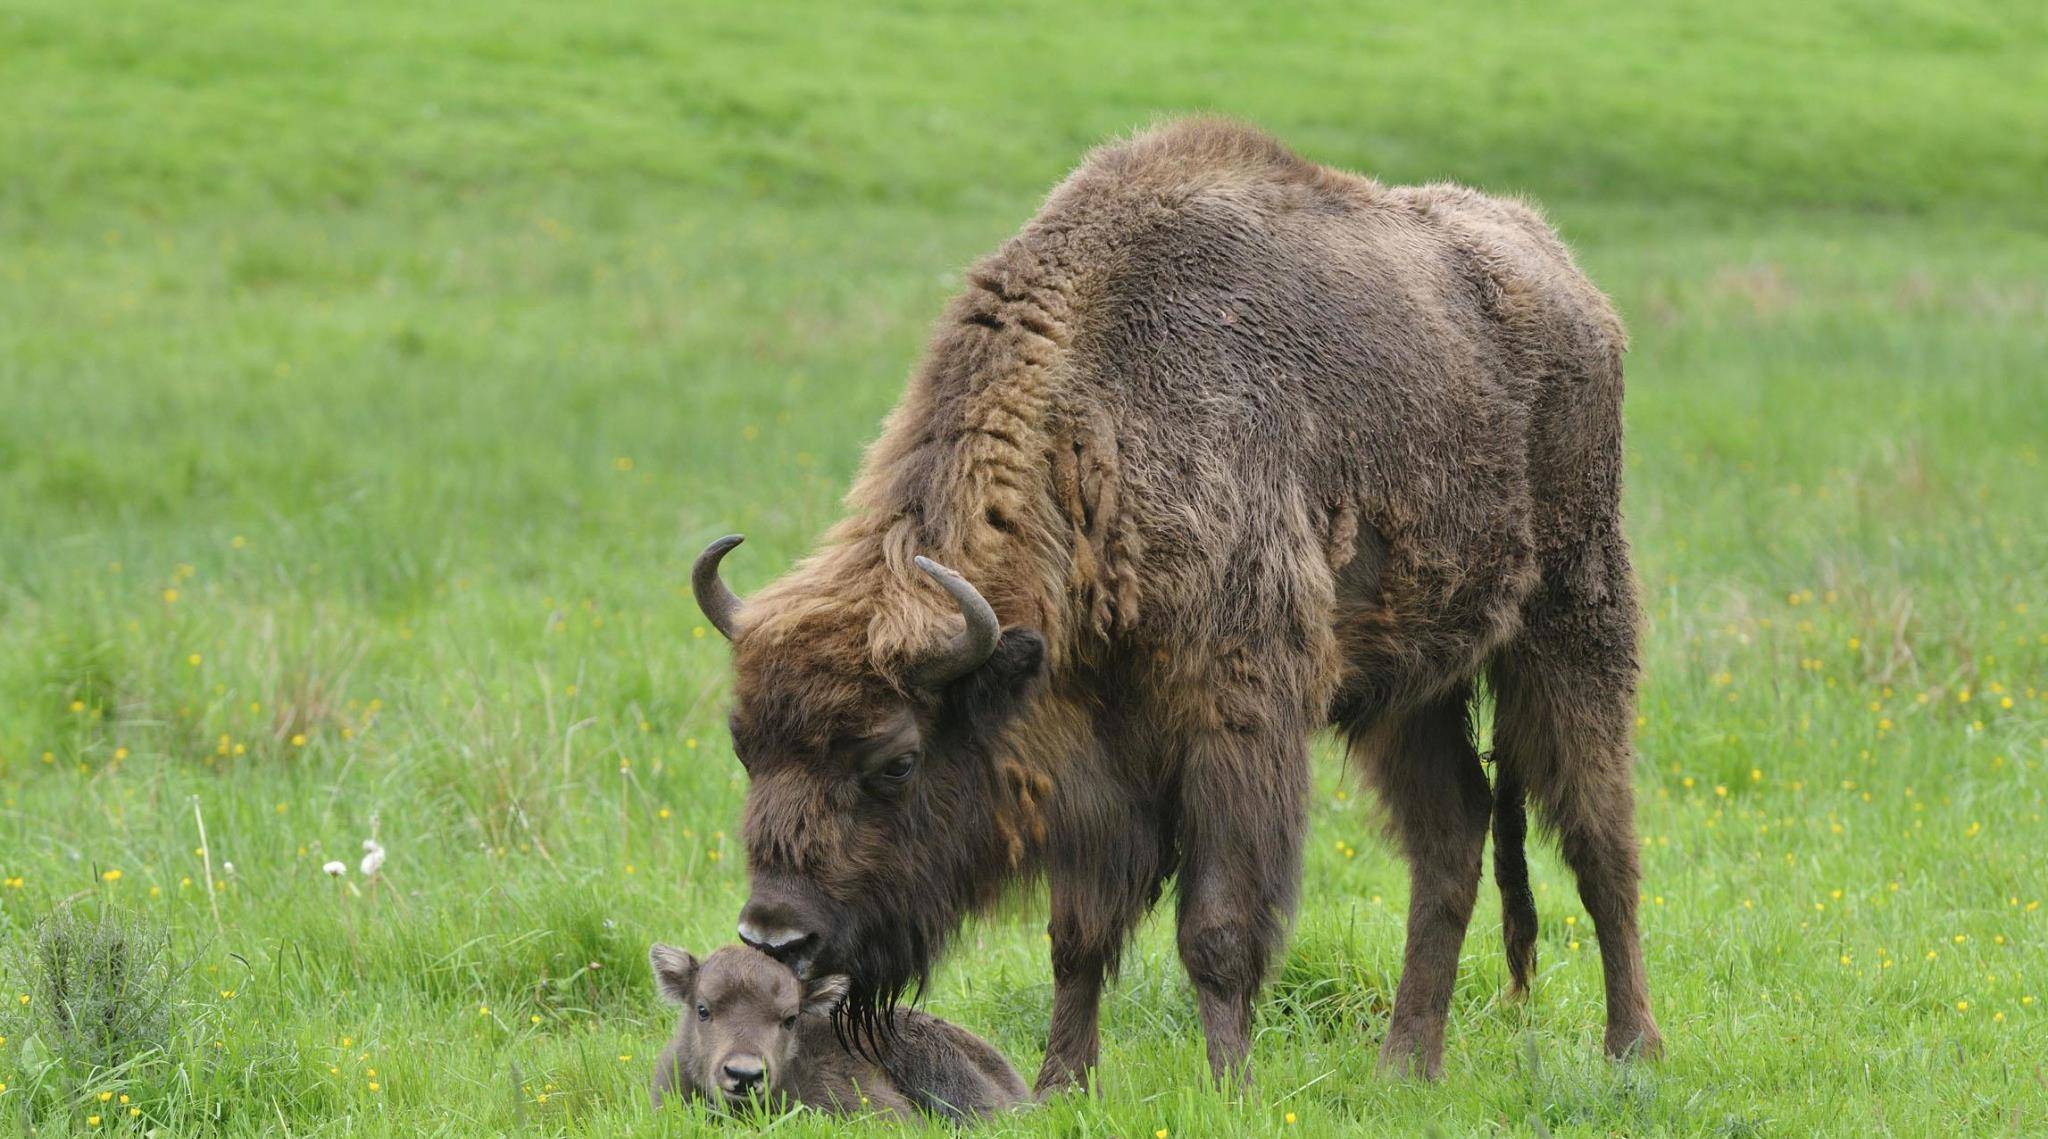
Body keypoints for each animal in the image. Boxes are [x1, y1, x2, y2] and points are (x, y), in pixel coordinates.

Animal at [696, 120, 1654, 1089]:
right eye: (744, 743)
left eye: (896, 760)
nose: (775, 934)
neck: (1100, 429)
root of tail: (1574, 287)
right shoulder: (1094, 760)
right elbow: (1078, 936)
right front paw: (1059, 1084)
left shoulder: (1235, 725)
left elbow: (1217, 930)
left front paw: (1231, 1085)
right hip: (1407, 688)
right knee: (1453, 834)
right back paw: (1405, 1064)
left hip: (1573, 623)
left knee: (1599, 837)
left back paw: (1631, 1050)